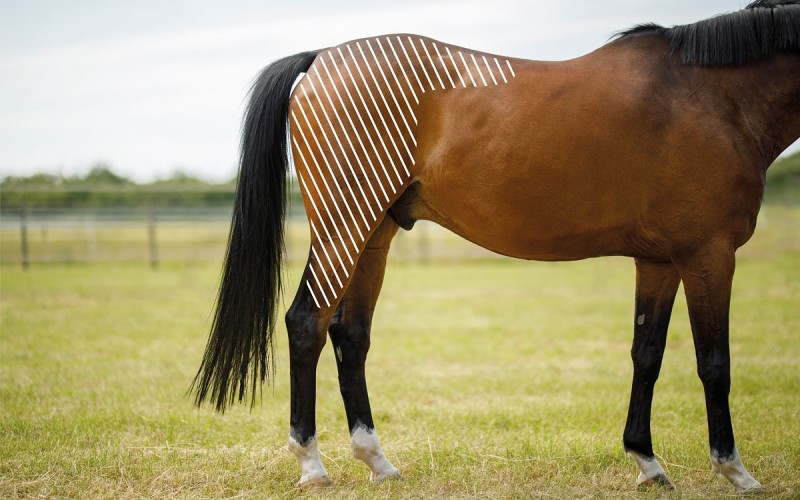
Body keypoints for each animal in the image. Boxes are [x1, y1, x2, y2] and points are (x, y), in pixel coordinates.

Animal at [194, 0, 800, 492]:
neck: (713, 96)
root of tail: (321, 58)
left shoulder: (659, 260)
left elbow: (646, 354)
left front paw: (647, 463)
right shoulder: (709, 255)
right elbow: (714, 362)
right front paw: (735, 470)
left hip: (374, 237)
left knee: (350, 335)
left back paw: (378, 462)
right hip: (344, 226)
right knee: (307, 324)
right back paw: (312, 466)